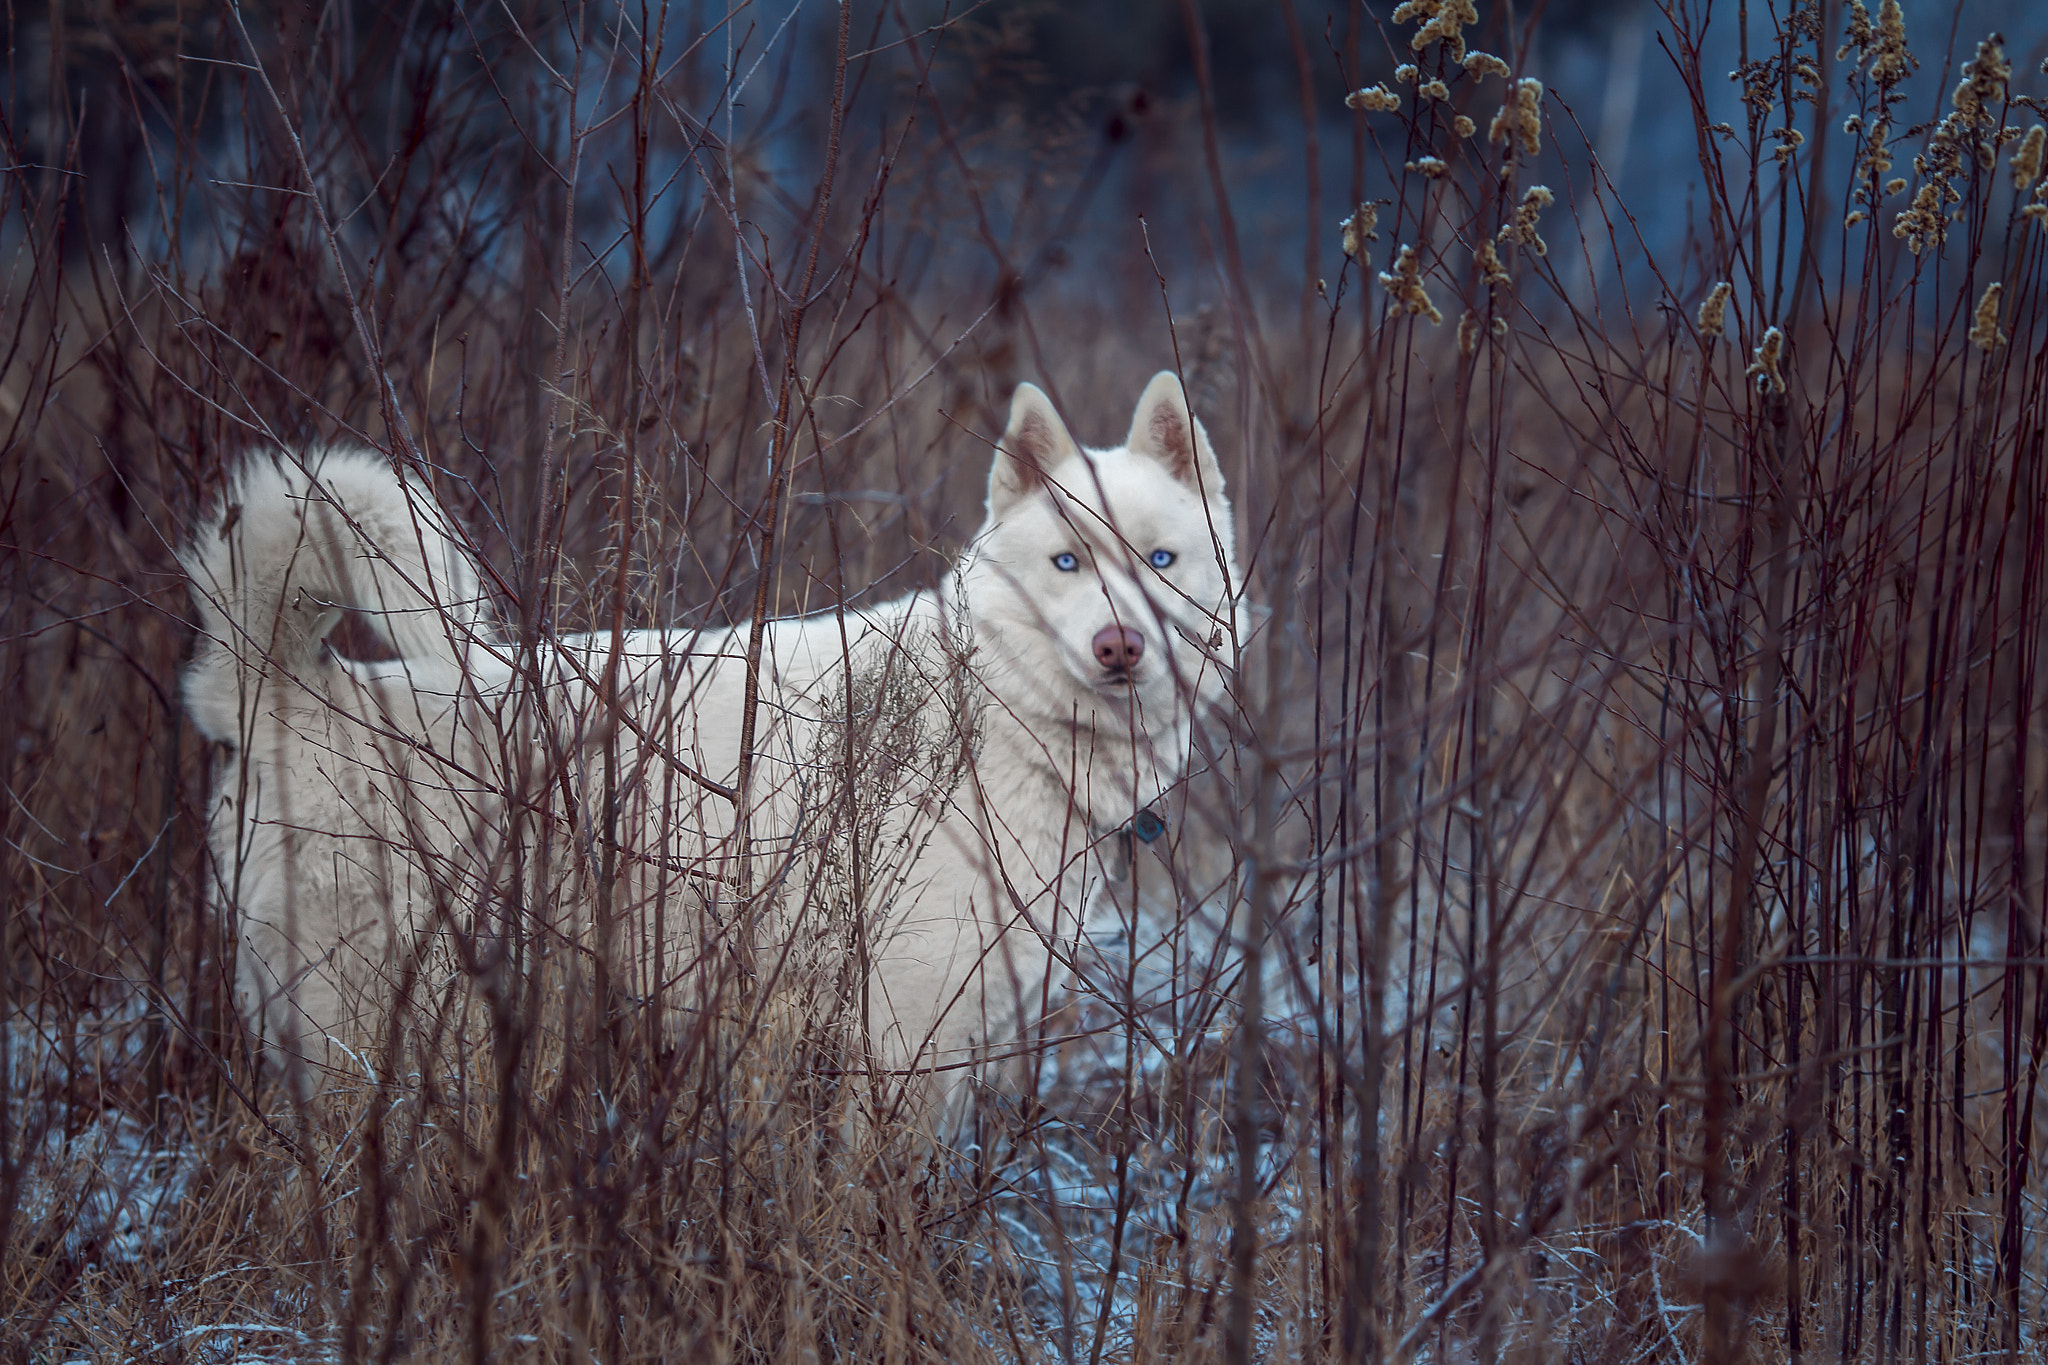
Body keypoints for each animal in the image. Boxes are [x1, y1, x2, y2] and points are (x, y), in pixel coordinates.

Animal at [184, 370, 1236, 1121]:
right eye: (1067, 562)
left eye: (1160, 560)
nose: (1120, 645)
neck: (1004, 715)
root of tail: (293, 690)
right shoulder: (901, 1033)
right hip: (369, 1027)